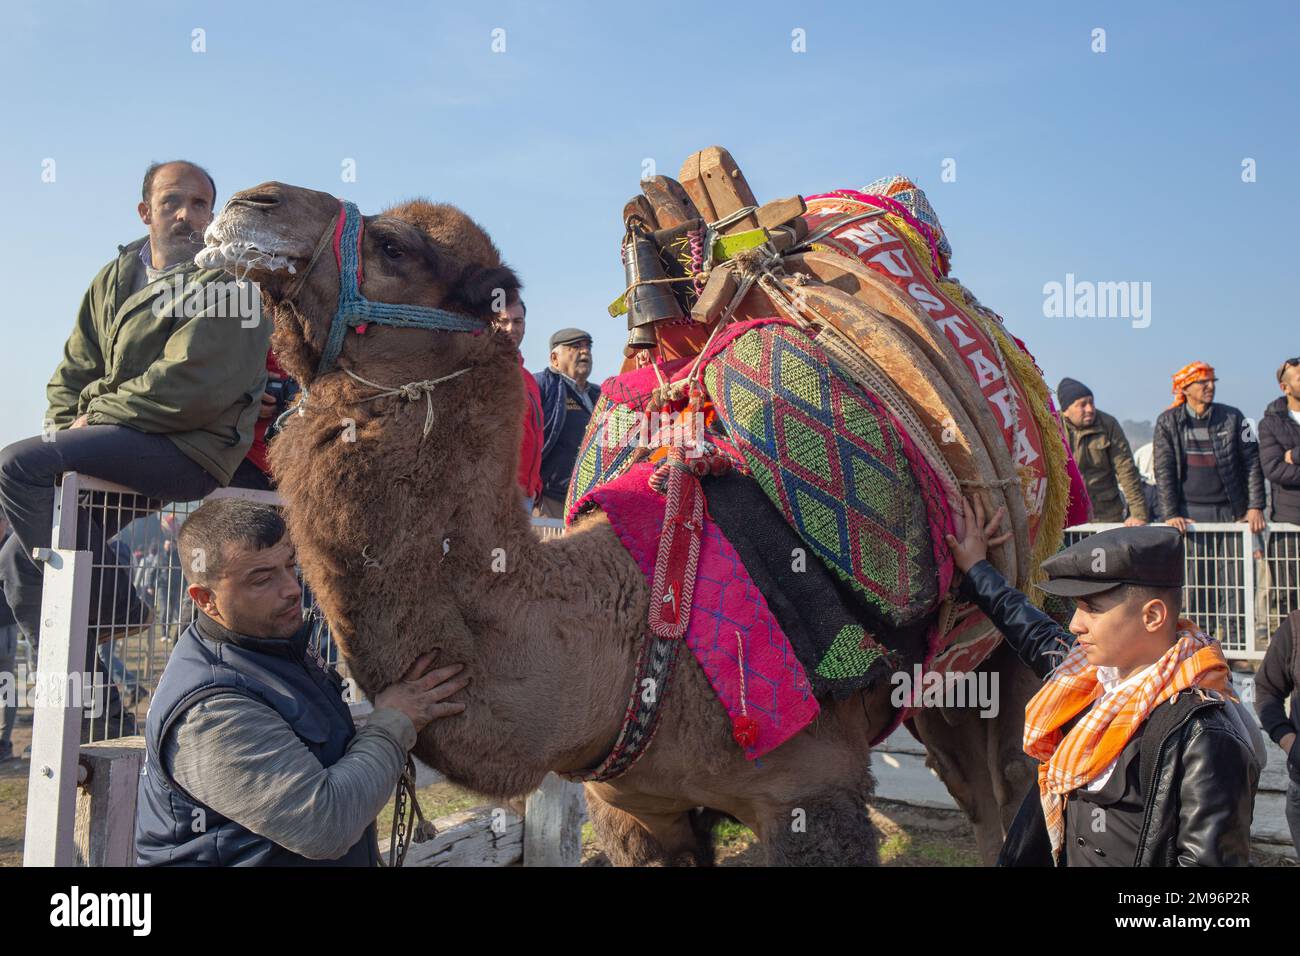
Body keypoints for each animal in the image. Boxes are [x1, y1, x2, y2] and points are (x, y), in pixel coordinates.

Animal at [199, 181, 1041, 865]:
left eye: (395, 247)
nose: (250, 201)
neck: (634, 637)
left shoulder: (812, 790)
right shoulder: (635, 809)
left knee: (1004, 783)